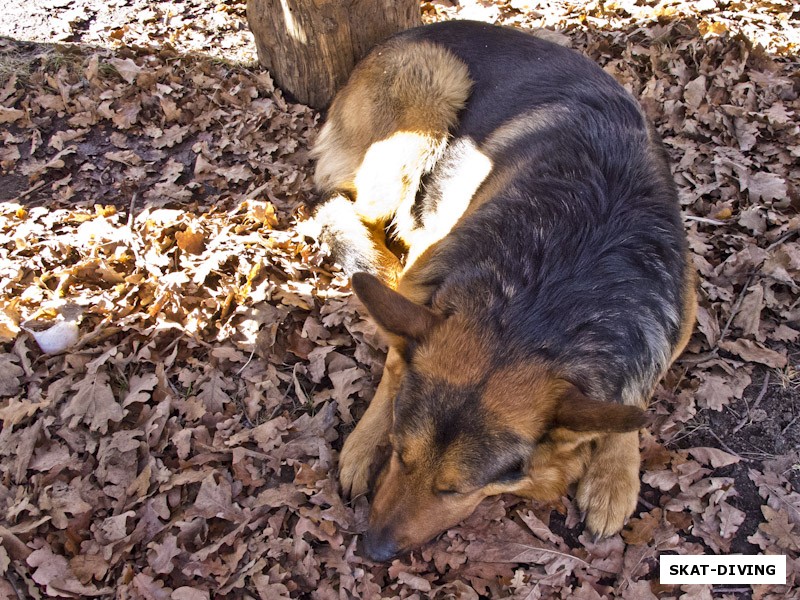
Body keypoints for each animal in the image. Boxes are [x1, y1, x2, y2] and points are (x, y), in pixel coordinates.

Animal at [310, 19, 696, 564]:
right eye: (400, 455)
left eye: (453, 490)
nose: (373, 549)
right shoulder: (425, 280)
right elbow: (395, 361)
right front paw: (365, 444)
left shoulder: (681, 311)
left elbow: (636, 396)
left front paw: (613, 475)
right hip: (427, 103)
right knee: (341, 207)